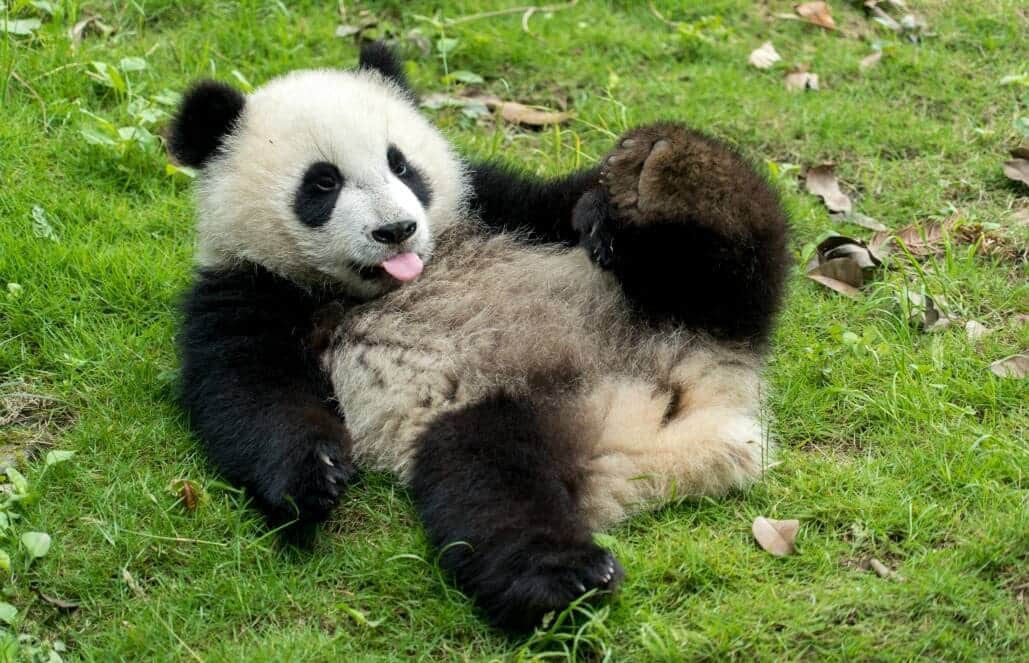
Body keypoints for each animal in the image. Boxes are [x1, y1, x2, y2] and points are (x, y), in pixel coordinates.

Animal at [170, 43, 789, 631]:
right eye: (323, 182)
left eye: (401, 165)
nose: (397, 230)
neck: (380, 286)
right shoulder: (245, 288)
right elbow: (250, 394)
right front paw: (315, 474)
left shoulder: (491, 202)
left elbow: (560, 200)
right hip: (493, 410)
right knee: (488, 486)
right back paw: (565, 578)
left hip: (657, 303)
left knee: (736, 259)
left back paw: (683, 174)